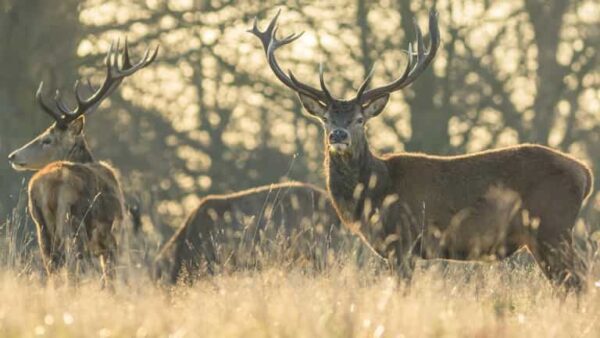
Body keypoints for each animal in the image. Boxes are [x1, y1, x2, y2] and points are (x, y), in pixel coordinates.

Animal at [8, 40, 158, 288]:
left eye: (47, 139)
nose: (12, 156)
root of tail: (46, 188)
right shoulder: (115, 238)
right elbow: (110, 279)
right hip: (76, 227)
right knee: (75, 271)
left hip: (42, 229)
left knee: (54, 270)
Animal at [250, 9, 596, 290]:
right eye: (326, 119)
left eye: (360, 118)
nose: (338, 134)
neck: (373, 194)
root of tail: (585, 173)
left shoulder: (403, 240)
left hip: (551, 226)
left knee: (579, 281)